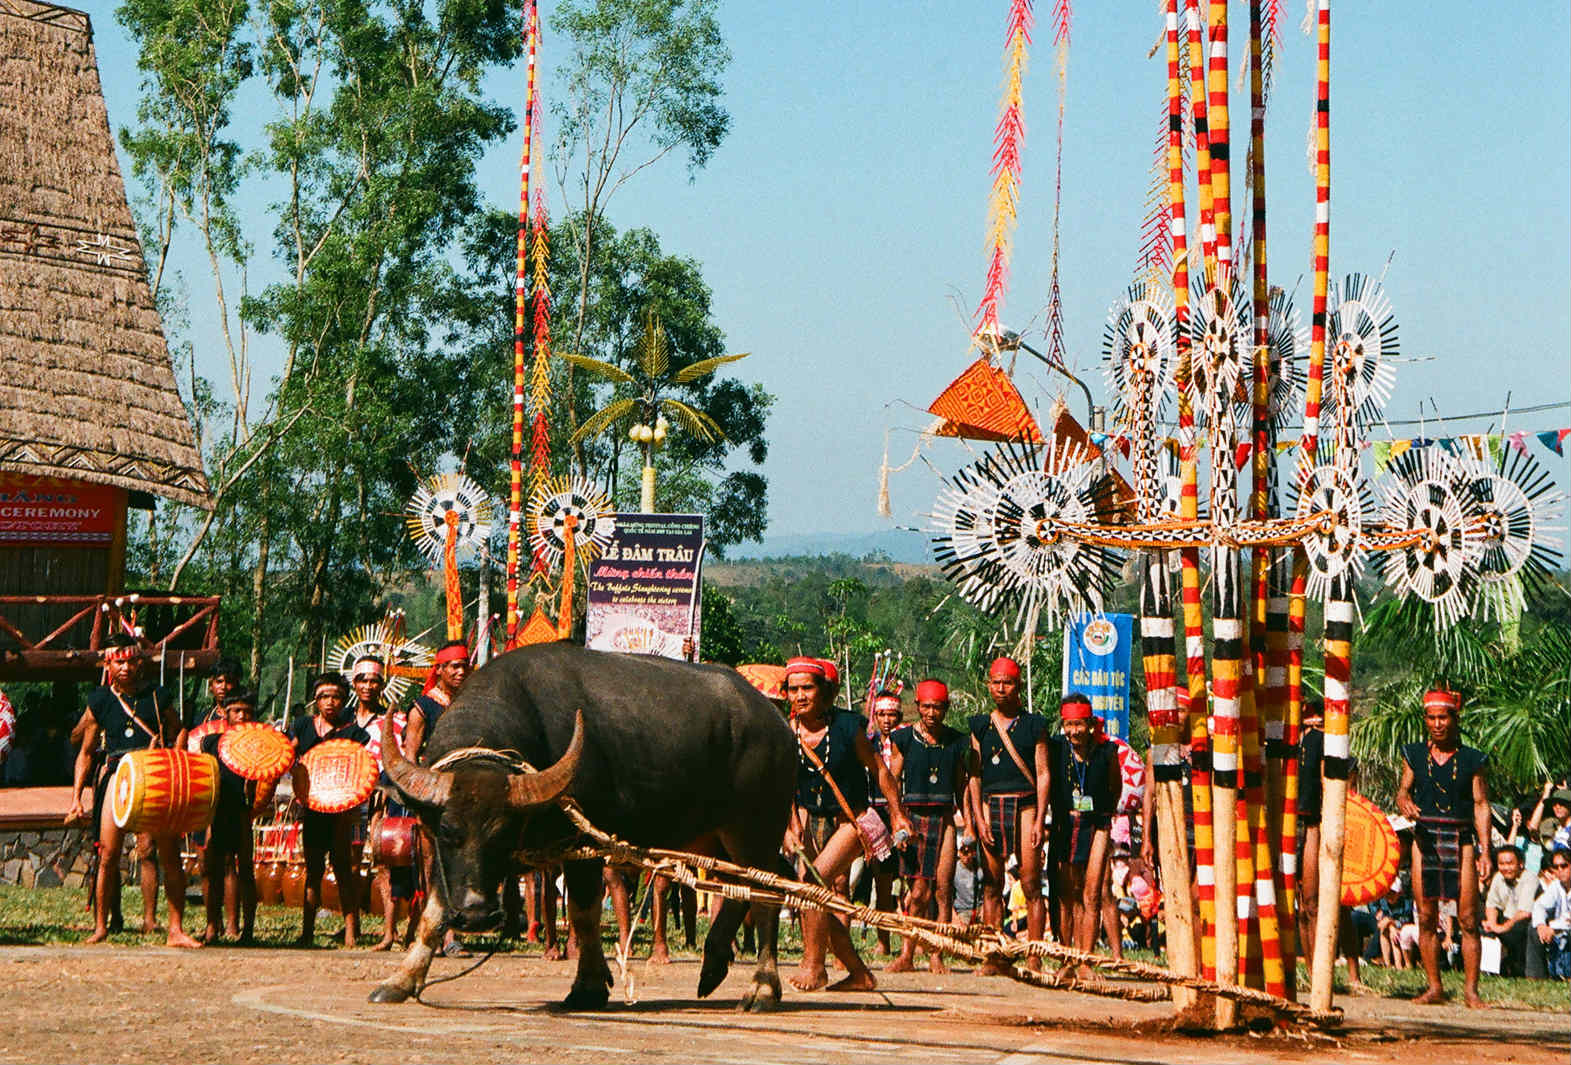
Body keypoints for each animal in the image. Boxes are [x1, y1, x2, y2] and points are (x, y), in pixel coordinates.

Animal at [366, 637, 791, 1011]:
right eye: (448, 832)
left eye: (503, 835)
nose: (476, 916)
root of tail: (777, 724)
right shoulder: (445, 859)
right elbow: (433, 914)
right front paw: (399, 982)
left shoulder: (584, 846)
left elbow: (584, 915)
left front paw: (587, 987)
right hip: (716, 840)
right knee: (745, 889)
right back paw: (714, 964)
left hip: (755, 831)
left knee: (766, 896)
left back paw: (762, 988)